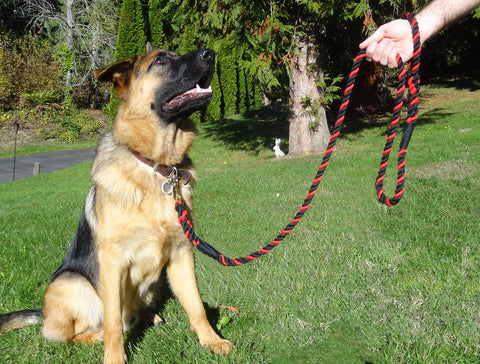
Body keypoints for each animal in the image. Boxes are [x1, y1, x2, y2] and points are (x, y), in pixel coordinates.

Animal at [0, 44, 232, 362]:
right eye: (161, 60)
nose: (209, 53)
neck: (157, 166)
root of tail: (43, 313)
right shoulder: (112, 261)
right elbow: (112, 322)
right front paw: (114, 357)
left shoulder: (181, 254)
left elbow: (195, 305)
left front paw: (211, 341)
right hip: (72, 283)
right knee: (65, 335)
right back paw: (95, 336)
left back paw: (149, 317)